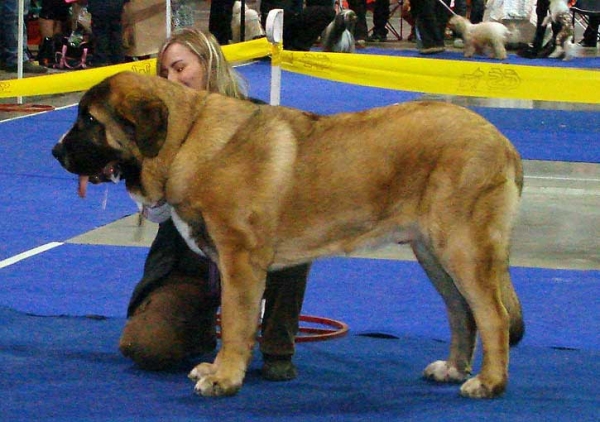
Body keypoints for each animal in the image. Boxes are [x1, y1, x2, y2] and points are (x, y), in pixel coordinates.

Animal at [52, 71, 524, 398]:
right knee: (461, 312)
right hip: (432, 253)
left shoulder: (240, 260)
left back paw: (489, 383)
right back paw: (453, 368)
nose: (55, 151)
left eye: (89, 120)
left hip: (462, 247)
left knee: (493, 315)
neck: (185, 140)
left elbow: (237, 321)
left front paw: (224, 378)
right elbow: (238, 322)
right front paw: (218, 370)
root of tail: (501, 141)